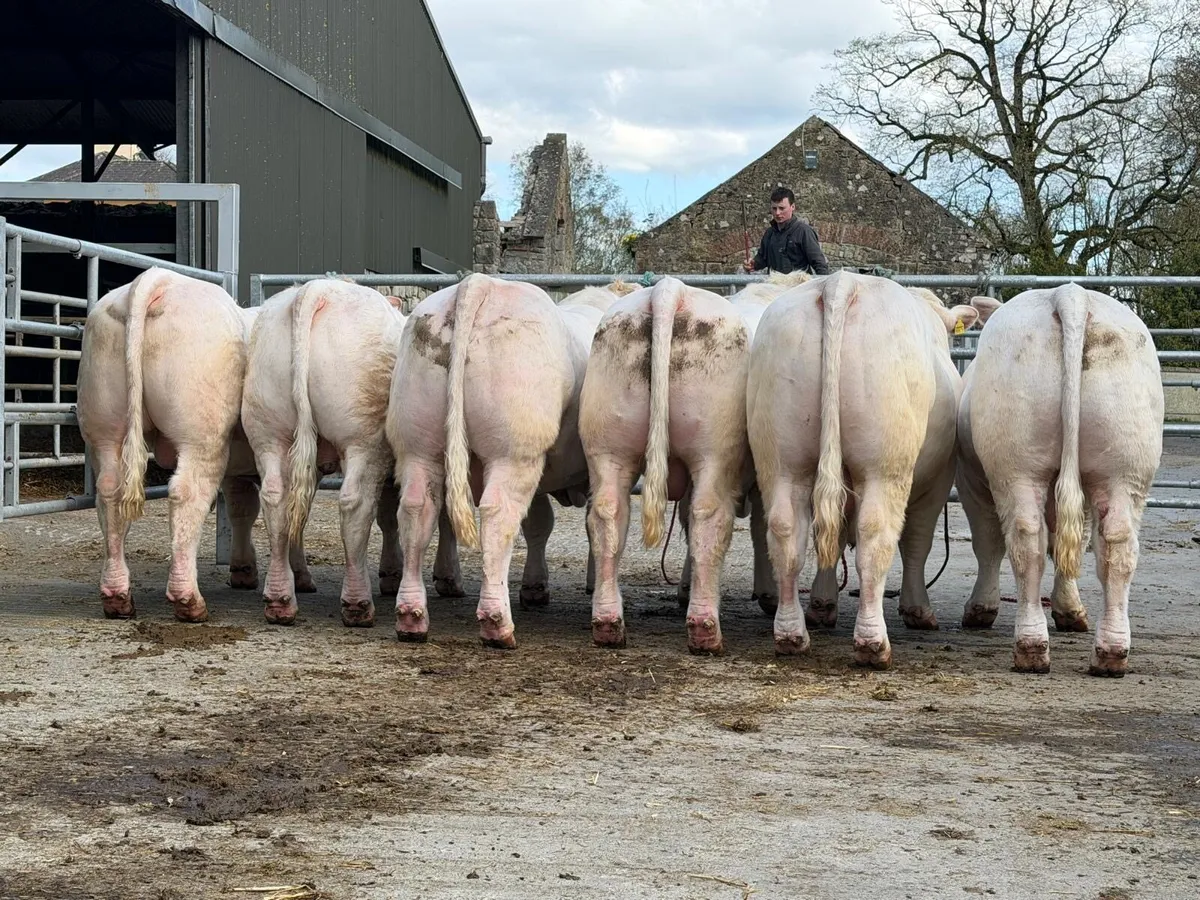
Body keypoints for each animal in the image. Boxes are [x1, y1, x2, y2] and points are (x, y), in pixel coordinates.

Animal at [240, 278, 406, 627]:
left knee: (277, 499)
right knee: (355, 504)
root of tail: (320, 288)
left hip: (267, 427)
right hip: (364, 436)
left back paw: (280, 600)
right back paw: (357, 604)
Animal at [385, 273, 614, 648]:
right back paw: (497, 623)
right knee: (497, 515)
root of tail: (480, 284)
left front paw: (536, 587)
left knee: (418, 509)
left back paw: (411, 617)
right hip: (514, 452)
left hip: (417, 441)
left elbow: (538, 523)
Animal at [581, 276, 753, 653]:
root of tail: (670, 289)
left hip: (607, 442)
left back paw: (608, 624)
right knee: (709, 515)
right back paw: (706, 632)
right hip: (715, 447)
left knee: (607, 513)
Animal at [746, 271, 978, 668]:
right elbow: (918, 541)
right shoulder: (937, 481)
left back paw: (791, 634)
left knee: (786, 529)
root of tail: (840, 284)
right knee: (876, 534)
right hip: (883, 465)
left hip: (782, 456)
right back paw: (873, 643)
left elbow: (834, 537)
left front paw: (822, 605)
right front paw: (918, 610)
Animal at [955, 284, 1164, 676]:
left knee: (1026, 539)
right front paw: (1070, 610)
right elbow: (1071, 542)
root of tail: (1068, 293)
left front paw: (981, 609)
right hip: (1124, 465)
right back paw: (1110, 652)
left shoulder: (971, 478)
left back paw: (1031, 647)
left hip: (1017, 465)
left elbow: (988, 543)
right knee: (1115, 543)